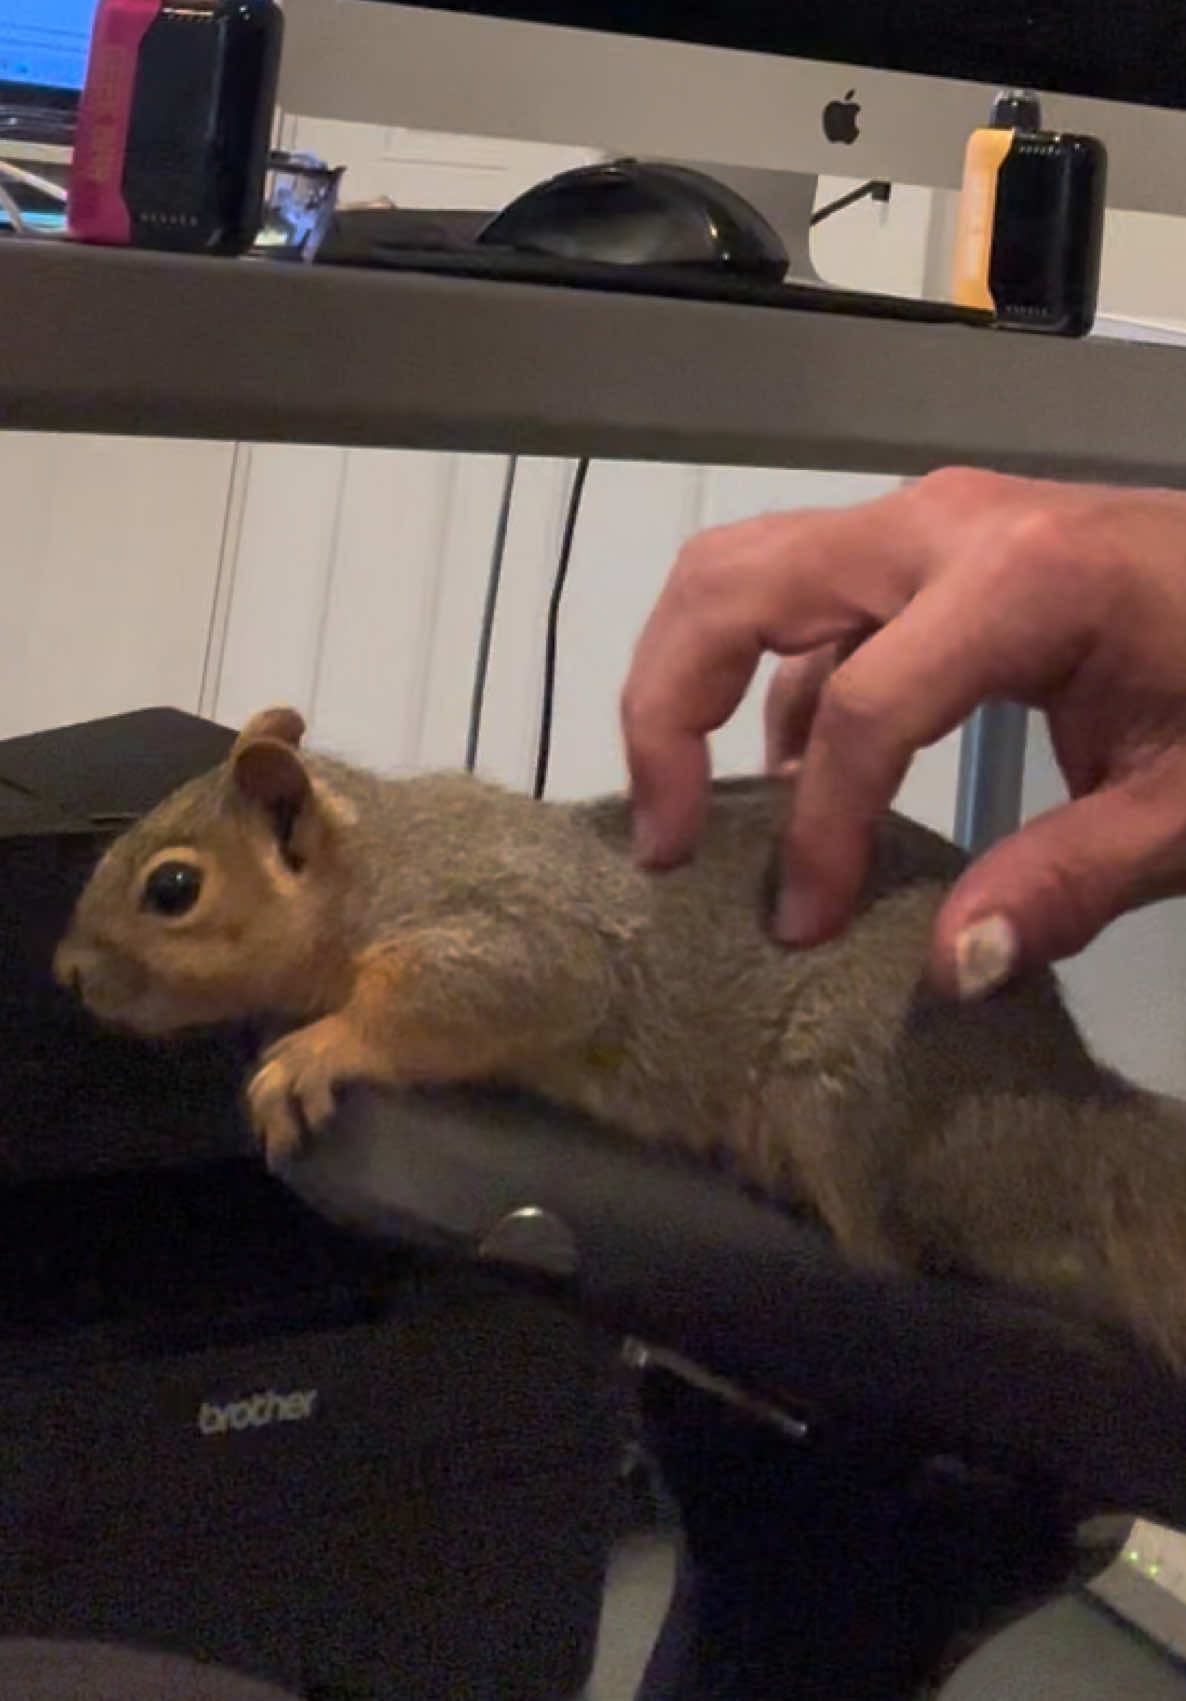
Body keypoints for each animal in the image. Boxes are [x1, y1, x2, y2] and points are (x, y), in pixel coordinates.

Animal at [54, 705, 1186, 1372]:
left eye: (173, 888)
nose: (66, 972)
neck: (385, 857)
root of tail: (1072, 1109)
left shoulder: (519, 938)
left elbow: (472, 997)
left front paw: (317, 1050)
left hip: (851, 1096)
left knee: (899, 1252)